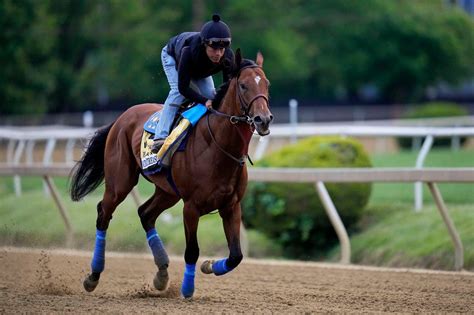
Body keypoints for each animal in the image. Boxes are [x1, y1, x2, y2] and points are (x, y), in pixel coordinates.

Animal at [68, 49, 272, 298]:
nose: (263, 119)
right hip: (120, 182)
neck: (219, 147)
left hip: (168, 191)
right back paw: (93, 276)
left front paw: (209, 266)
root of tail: (121, 117)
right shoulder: (191, 207)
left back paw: (162, 274)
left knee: (145, 214)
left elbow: (236, 256)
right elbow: (192, 250)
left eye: (267, 84)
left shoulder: (231, 205)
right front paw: (187, 288)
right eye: (243, 85)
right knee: (103, 213)